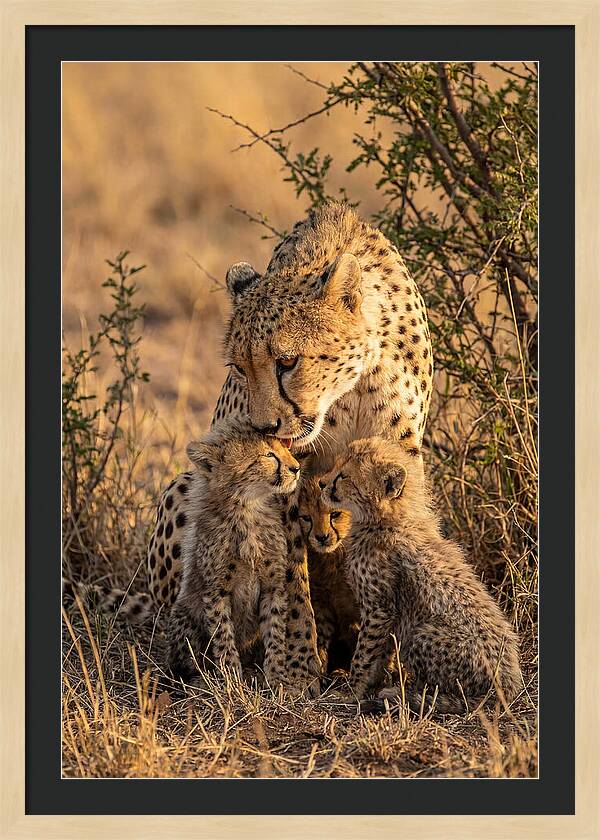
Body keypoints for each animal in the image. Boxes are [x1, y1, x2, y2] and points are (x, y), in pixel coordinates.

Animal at [166, 420, 304, 692]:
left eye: (284, 449)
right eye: (268, 455)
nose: (296, 468)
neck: (247, 509)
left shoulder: (273, 586)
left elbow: (275, 632)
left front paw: (276, 678)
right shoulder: (216, 591)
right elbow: (223, 636)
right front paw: (231, 679)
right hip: (184, 615)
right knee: (187, 658)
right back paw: (200, 678)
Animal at [319, 437, 522, 715]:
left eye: (343, 476)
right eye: (336, 466)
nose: (321, 483)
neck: (388, 519)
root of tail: (509, 687)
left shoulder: (379, 608)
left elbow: (365, 653)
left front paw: (352, 690)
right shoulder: (387, 613)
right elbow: (380, 653)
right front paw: (370, 684)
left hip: (422, 633)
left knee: (447, 692)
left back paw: (405, 695)